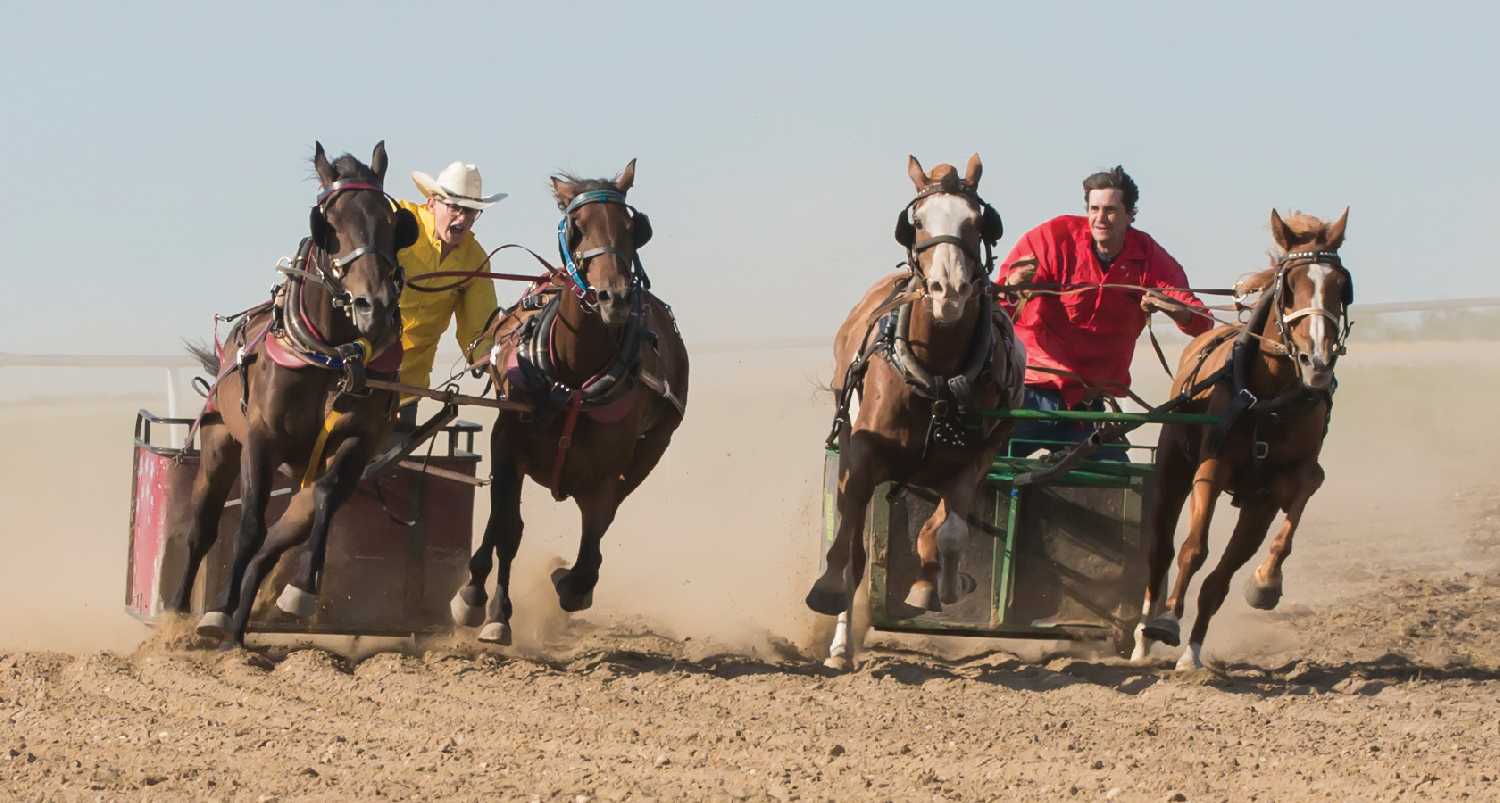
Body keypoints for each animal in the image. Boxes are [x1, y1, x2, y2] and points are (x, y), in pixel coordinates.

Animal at [167, 143, 420, 648]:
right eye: (330, 224)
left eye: (391, 222)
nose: (375, 306)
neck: (333, 357)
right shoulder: (261, 441)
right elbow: (248, 527)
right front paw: (216, 613)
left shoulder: (357, 443)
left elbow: (321, 499)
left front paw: (300, 590)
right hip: (220, 444)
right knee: (203, 527)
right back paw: (184, 614)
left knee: (282, 535)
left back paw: (243, 625)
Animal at [447, 158, 687, 648]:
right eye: (576, 227)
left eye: (634, 228)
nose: (614, 296)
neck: (573, 378)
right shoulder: (507, 440)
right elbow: (505, 528)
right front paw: (484, 604)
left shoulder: (610, 468)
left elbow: (593, 540)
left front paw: (568, 582)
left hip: (651, 450)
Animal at [810, 153, 1032, 669]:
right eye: (916, 223)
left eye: (978, 222)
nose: (947, 289)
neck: (938, 375)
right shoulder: (861, 455)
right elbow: (849, 545)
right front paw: (829, 591)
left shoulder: (977, 459)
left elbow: (949, 532)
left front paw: (936, 585)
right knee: (855, 549)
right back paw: (840, 647)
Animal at [1128, 208, 1356, 672]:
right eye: (1291, 285)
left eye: (1341, 286)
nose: (1318, 362)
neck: (1268, 399)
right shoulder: (1211, 469)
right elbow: (1193, 550)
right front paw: (1166, 622)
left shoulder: (1273, 493)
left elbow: (1228, 575)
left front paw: (1263, 586)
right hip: (1172, 471)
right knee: (1160, 551)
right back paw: (1143, 639)